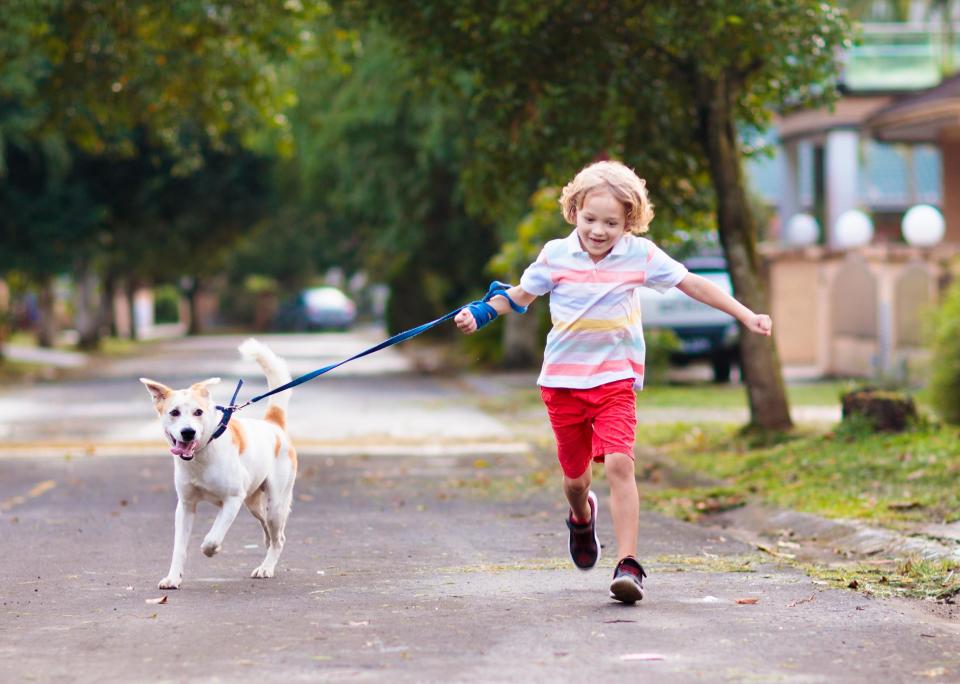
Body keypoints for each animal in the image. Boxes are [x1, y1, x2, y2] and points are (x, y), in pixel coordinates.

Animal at [140, 340, 296, 592]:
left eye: (198, 412)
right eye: (174, 412)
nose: (188, 432)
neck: (202, 455)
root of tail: (273, 424)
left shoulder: (232, 500)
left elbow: (213, 536)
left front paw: (211, 549)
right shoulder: (185, 506)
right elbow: (179, 547)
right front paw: (173, 578)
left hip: (276, 503)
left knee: (278, 538)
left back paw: (266, 568)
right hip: (253, 503)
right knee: (268, 531)